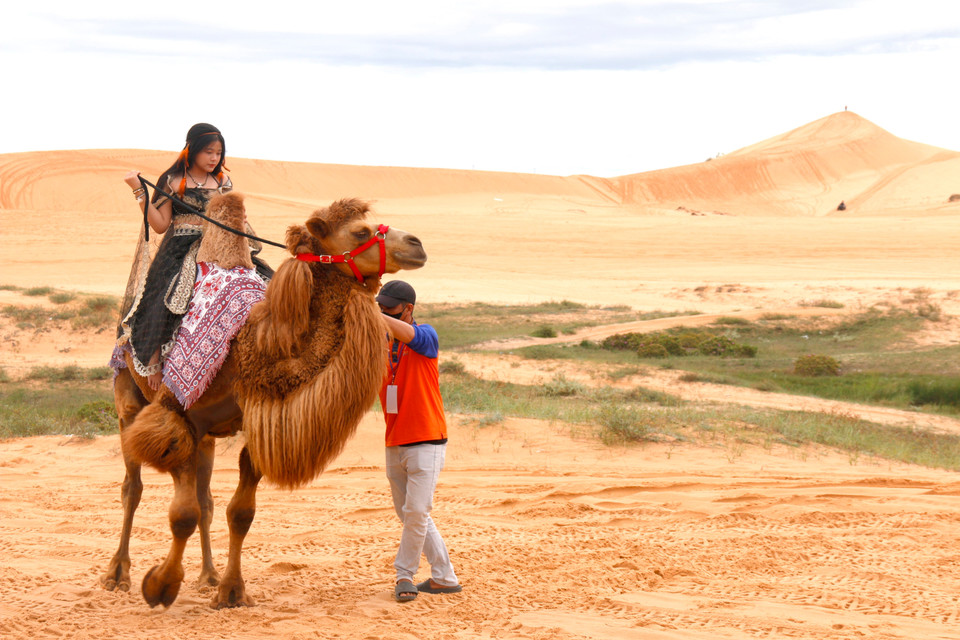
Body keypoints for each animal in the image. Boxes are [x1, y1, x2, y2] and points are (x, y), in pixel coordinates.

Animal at [100, 193, 426, 609]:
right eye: (360, 231)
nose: (417, 244)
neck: (246, 347)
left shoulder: (251, 422)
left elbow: (239, 512)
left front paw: (231, 591)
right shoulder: (177, 415)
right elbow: (183, 514)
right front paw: (159, 586)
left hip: (206, 438)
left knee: (205, 499)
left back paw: (207, 575)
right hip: (128, 398)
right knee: (133, 487)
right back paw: (117, 574)